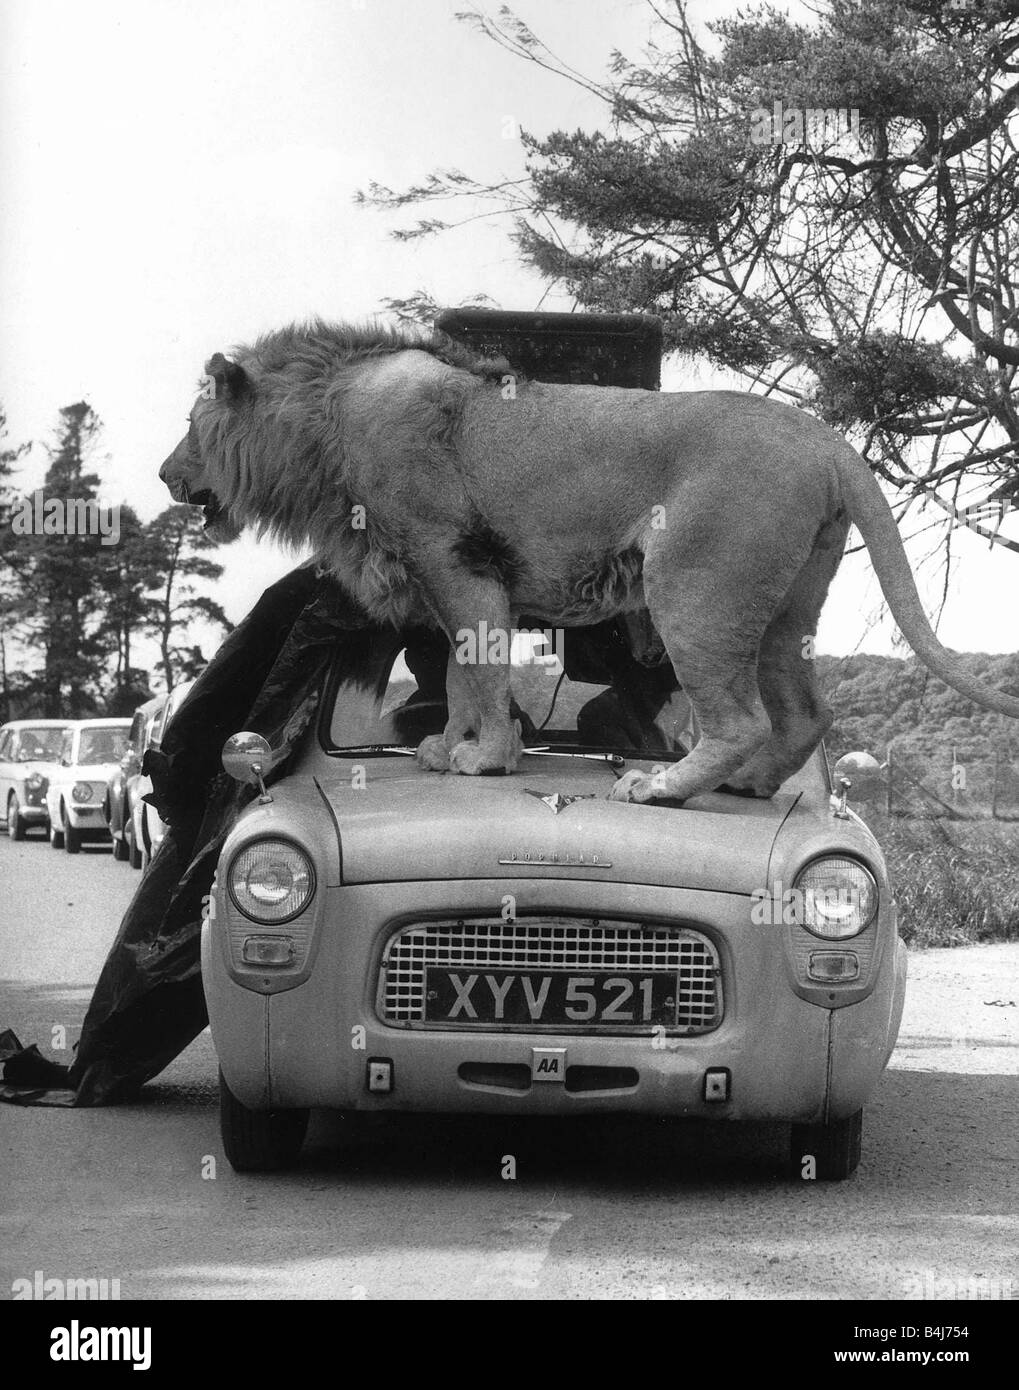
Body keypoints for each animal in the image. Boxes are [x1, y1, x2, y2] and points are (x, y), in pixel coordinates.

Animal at [159, 318, 1019, 805]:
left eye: (192, 424)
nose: (167, 474)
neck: (322, 422)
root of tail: (828, 441)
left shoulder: (454, 560)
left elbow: (479, 670)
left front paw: (486, 761)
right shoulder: (452, 581)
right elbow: (463, 673)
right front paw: (450, 748)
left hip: (693, 590)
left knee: (738, 719)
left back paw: (661, 788)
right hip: (785, 607)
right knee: (805, 712)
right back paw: (748, 786)